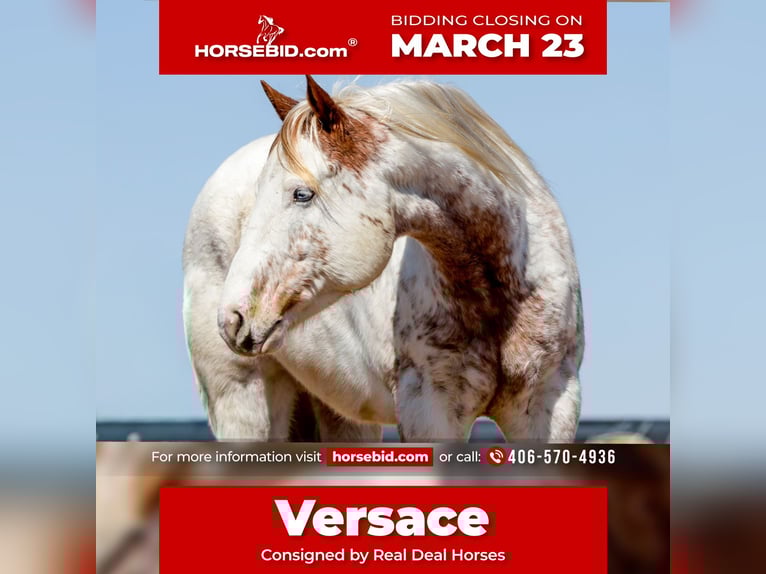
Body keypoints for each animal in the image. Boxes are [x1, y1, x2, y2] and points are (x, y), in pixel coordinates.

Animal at [182, 75, 584, 442]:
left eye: (301, 194)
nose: (233, 317)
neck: (495, 295)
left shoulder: (550, 403)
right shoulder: (429, 410)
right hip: (245, 404)